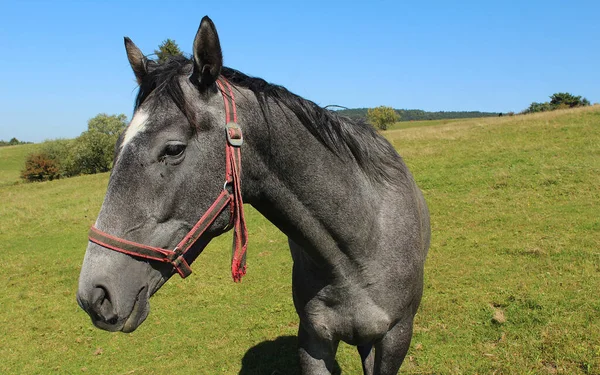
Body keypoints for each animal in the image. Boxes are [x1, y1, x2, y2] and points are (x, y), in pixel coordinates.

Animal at [77, 16, 428, 374]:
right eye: (118, 145)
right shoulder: (314, 341)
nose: (94, 296)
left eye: (173, 149)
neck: (356, 253)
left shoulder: (394, 339)